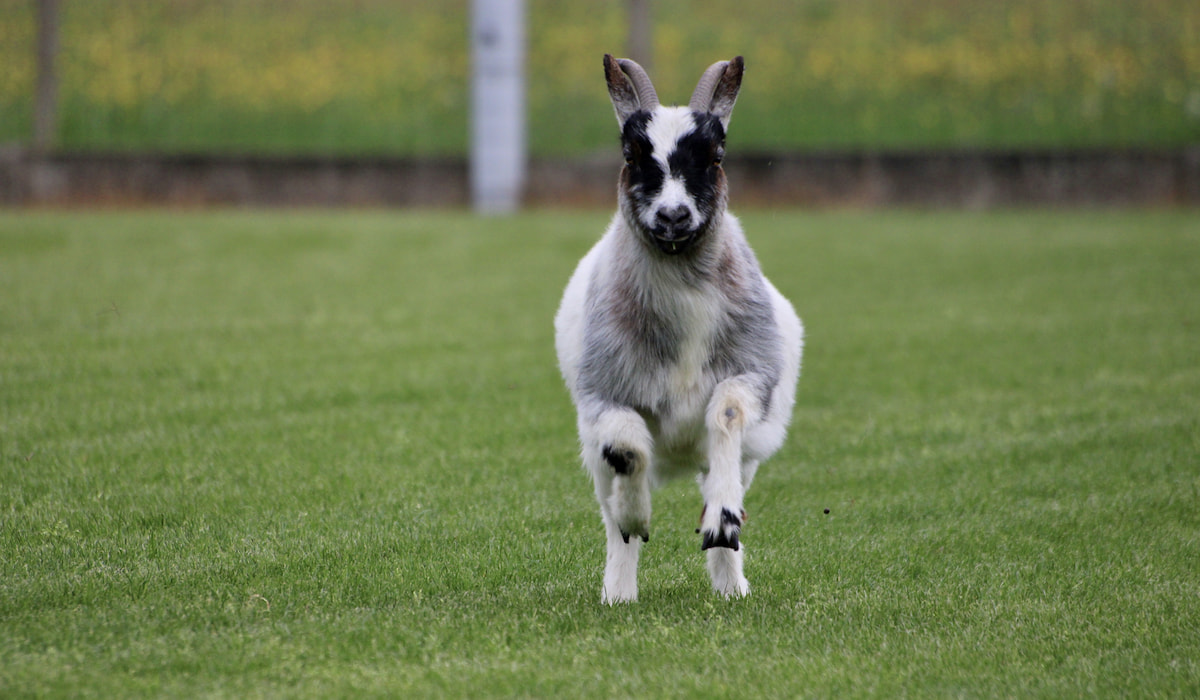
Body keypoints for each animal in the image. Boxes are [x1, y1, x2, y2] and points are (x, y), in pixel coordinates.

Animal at [554, 54, 806, 605]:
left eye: (716, 156)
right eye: (630, 152)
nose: (673, 216)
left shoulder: (754, 375)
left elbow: (727, 413)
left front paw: (721, 524)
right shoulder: (603, 397)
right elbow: (628, 446)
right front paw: (637, 517)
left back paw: (731, 582)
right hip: (593, 453)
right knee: (612, 514)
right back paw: (619, 592)